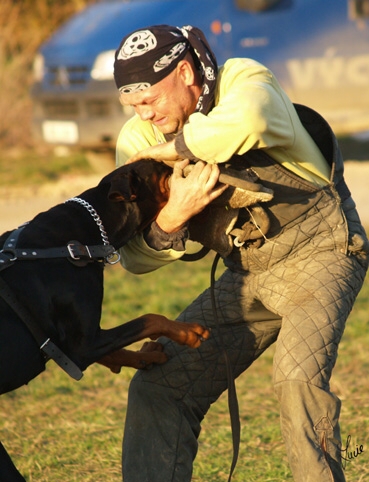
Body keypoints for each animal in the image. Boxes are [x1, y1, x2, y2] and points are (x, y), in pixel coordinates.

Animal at [0, 159, 210, 482]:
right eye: (162, 168)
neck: (77, 242)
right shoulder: (83, 344)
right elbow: (149, 318)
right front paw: (187, 333)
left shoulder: (76, 343)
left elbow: (118, 349)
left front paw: (148, 356)